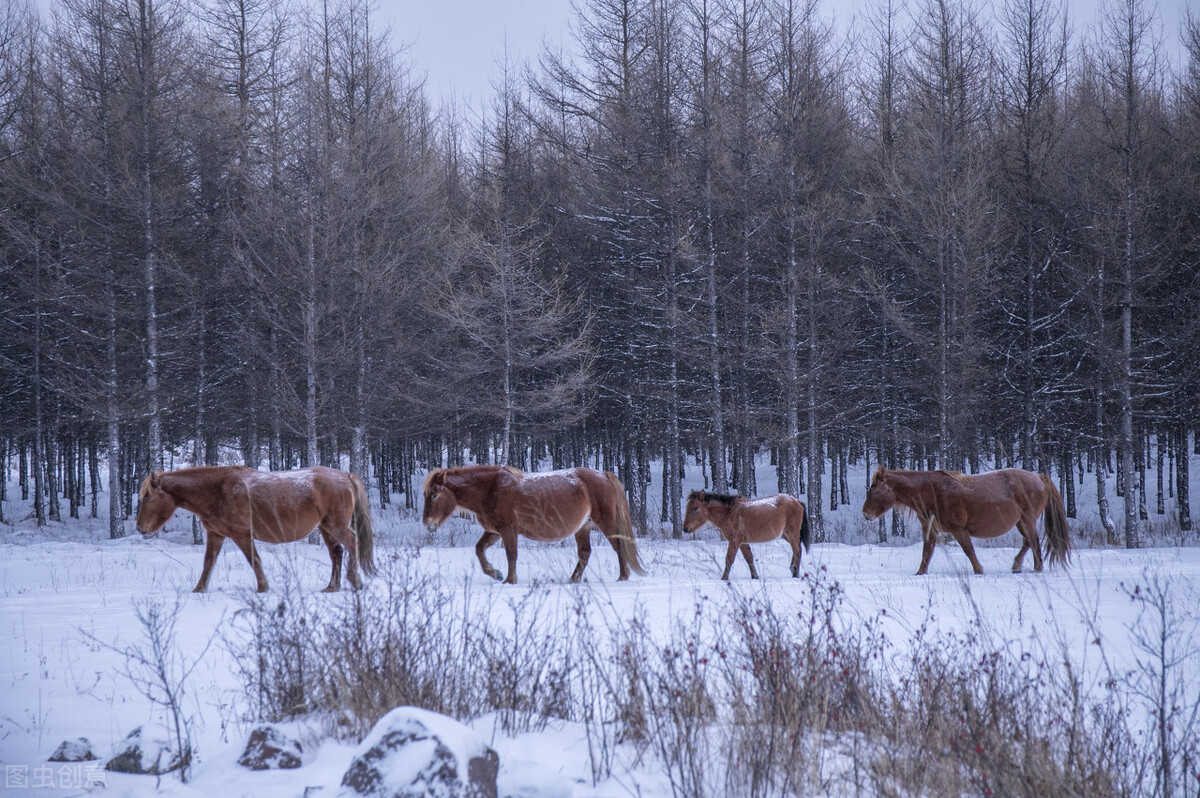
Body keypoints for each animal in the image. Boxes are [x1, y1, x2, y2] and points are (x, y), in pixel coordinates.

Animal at [135, 460, 374, 590]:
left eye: (147, 497)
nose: (140, 528)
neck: (217, 491)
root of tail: (346, 475)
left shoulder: (241, 535)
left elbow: (254, 560)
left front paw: (262, 587)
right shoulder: (215, 535)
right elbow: (208, 564)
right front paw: (199, 589)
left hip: (336, 526)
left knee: (352, 544)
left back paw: (355, 581)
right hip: (325, 528)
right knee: (336, 553)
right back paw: (332, 586)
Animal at [424, 463, 648, 583]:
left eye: (434, 495)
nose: (428, 524)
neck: (491, 489)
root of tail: (603, 474)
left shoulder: (508, 530)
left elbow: (511, 555)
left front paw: (509, 579)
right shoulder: (494, 531)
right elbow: (479, 549)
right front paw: (495, 573)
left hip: (605, 522)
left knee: (619, 546)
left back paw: (622, 577)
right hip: (583, 528)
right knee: (584, 554)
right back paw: (572, 579)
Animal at [681, 484, 811, 578]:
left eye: (695, 508)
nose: (685, 528)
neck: (729, 512)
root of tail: (796, 501)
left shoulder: (734, 541)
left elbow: (729, 560)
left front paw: (724, 578)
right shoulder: (743, 542)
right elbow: (749, 559)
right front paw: (755, 577)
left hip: (792, 533)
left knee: (798, 550)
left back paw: (795, 573)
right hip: (785, 535)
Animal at [864, 468, 1070, 573]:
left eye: (874, 488)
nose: (866, 514)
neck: (931, 491)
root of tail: (1039, 477)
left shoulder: (959, 530)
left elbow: (968, 550)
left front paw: (979, 570)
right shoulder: (931, 529)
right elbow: (926, 553)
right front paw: (920, 573)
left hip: (1027, 520)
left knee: (1033, 541)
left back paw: (1034, 568)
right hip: (1021, 522)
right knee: (1029, 541)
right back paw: (1020, 566)